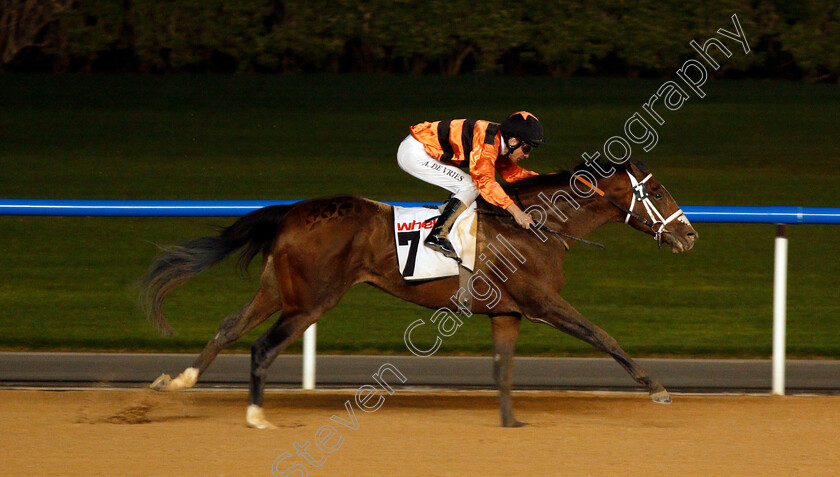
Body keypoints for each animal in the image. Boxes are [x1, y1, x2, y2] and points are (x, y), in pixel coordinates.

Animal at [143, 159, 696, 428]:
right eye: (658, 192)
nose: (689, 235)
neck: (538, 226)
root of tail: (292, 211)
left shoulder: (508, 313)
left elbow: (503, 368)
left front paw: (512, 422)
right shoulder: (542, 302)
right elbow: (603, 335)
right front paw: (657, 387)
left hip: (279, 290)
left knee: (229, 326)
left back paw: (179, 380)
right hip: (313, 299)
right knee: (262, 346)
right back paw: (256, 416)